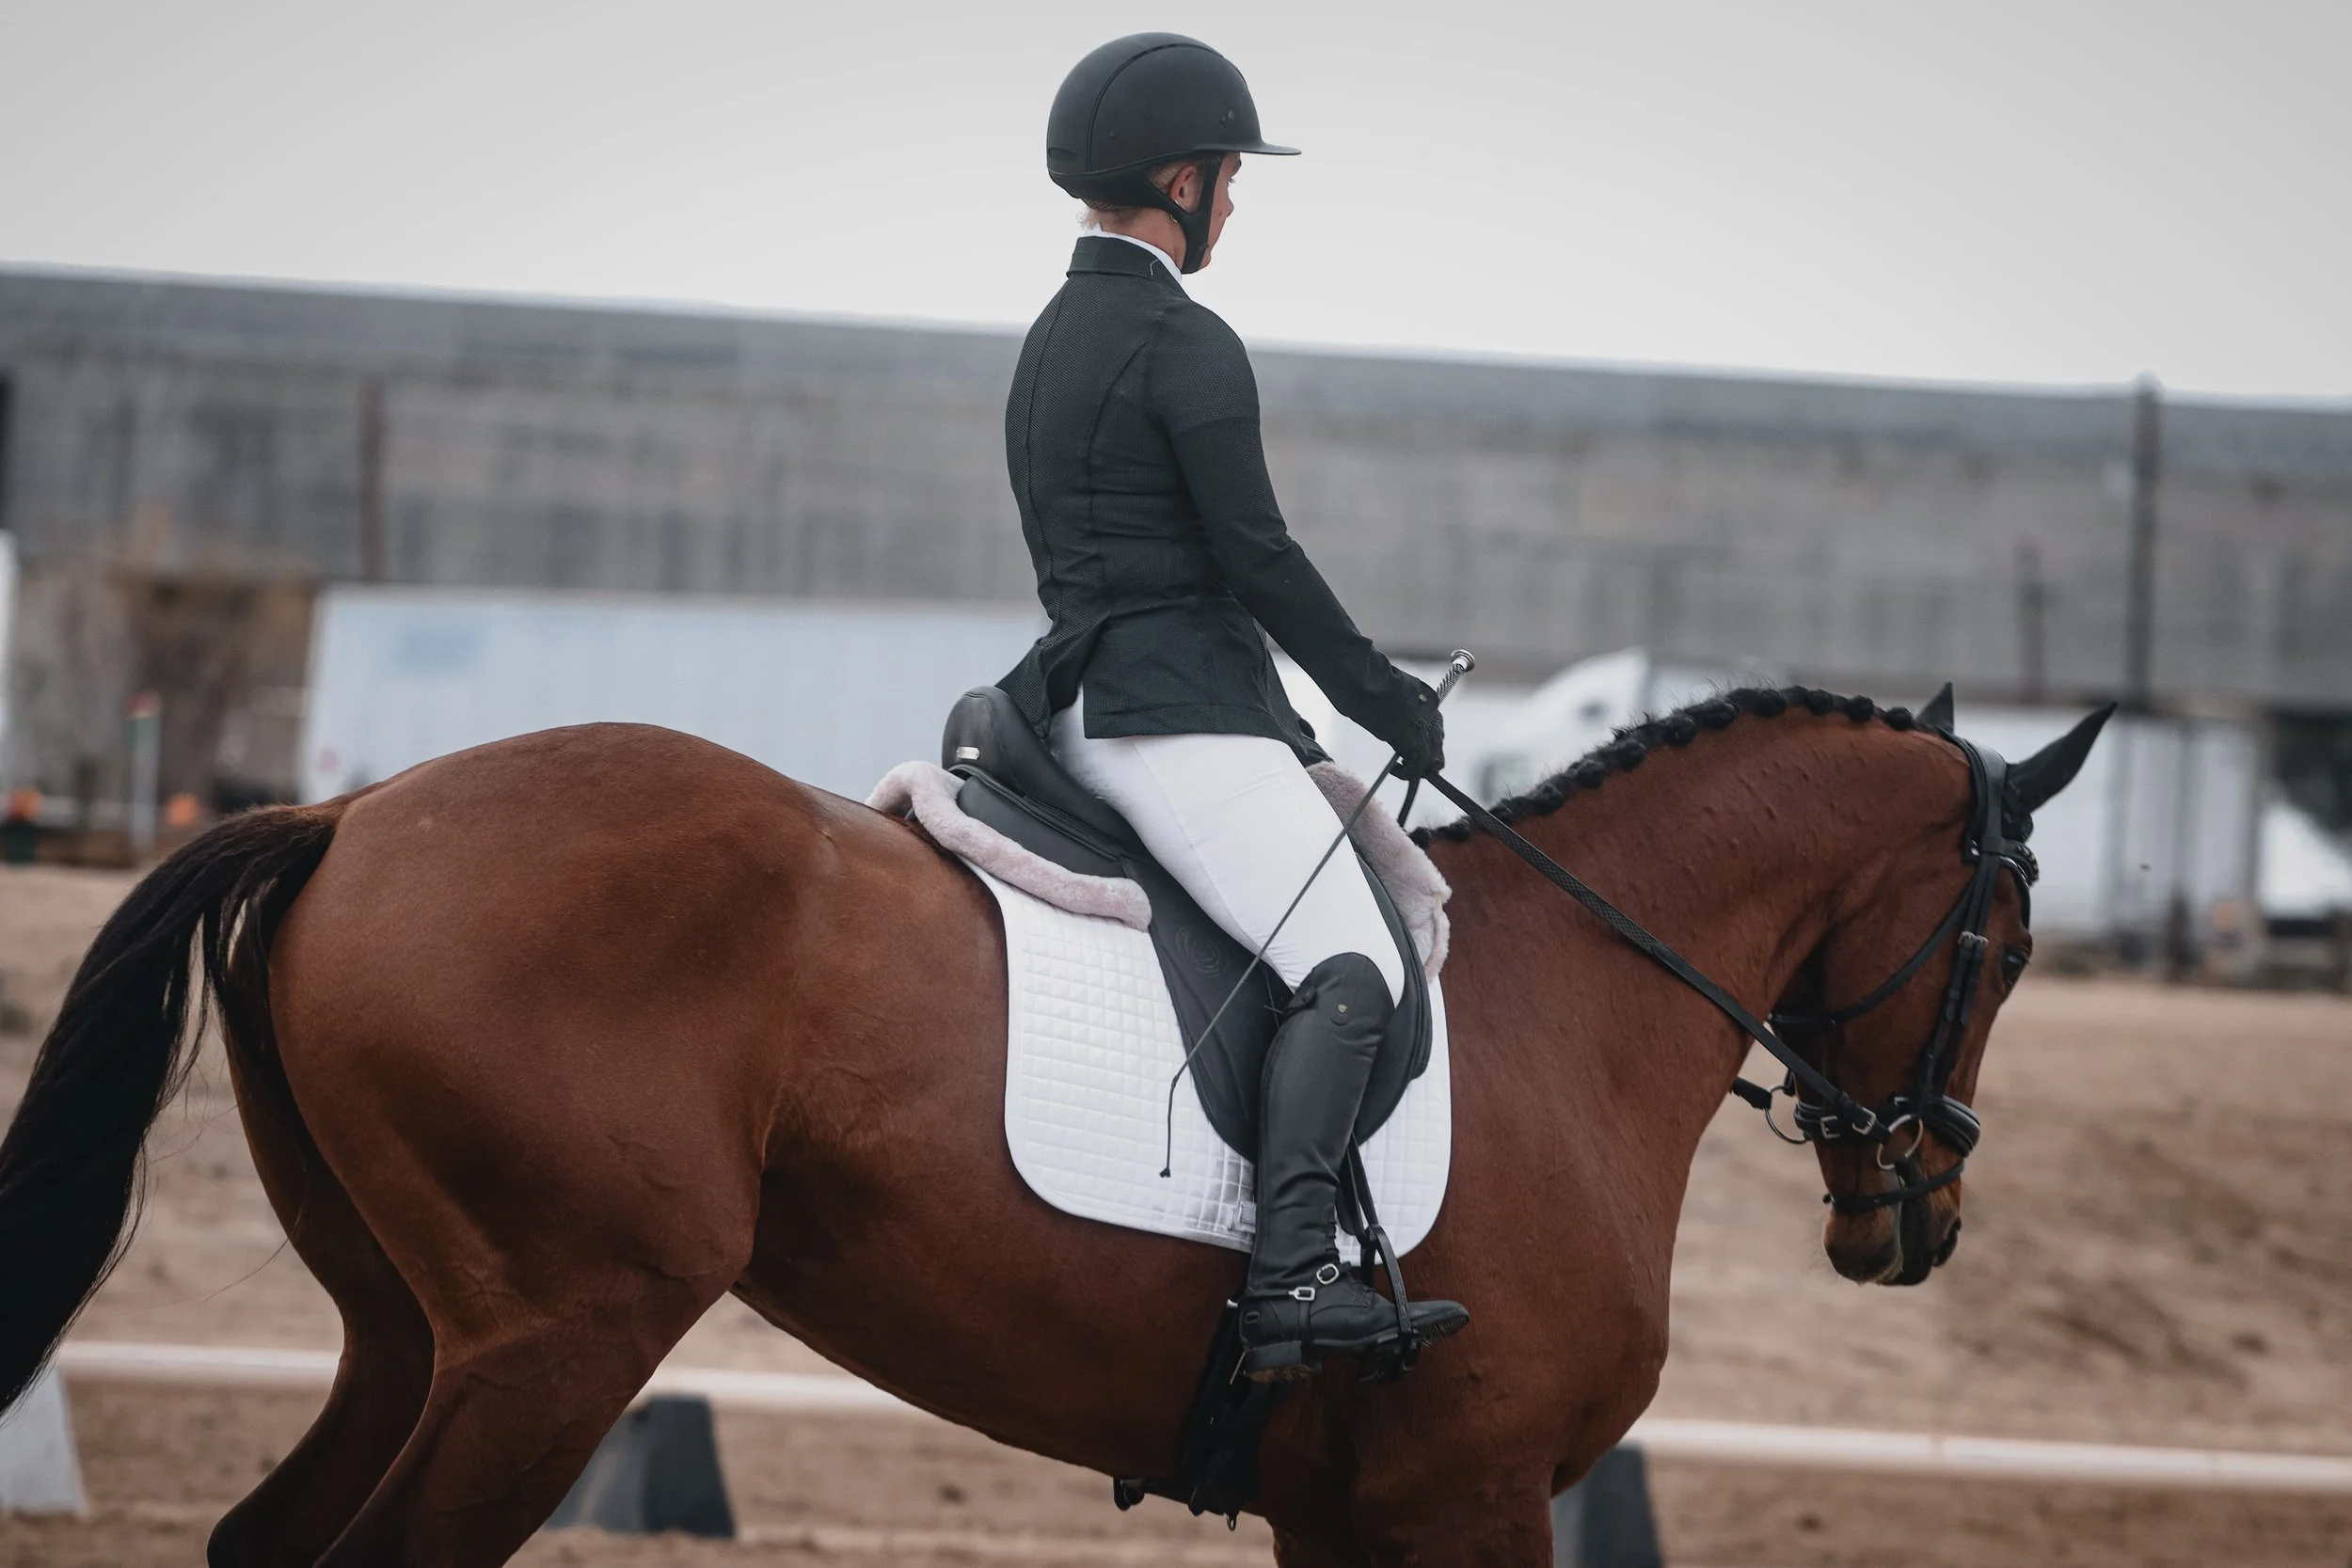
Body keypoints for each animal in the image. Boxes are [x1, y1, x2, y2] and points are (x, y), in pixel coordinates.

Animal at [0, 684, 2106, 1566]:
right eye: (2004, 940)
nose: (1910, 1214)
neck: (1575, 1000)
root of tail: (356, 811)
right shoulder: (1474, 1490)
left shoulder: (1353, 1506)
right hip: (557, 1335)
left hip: (408, 1330)